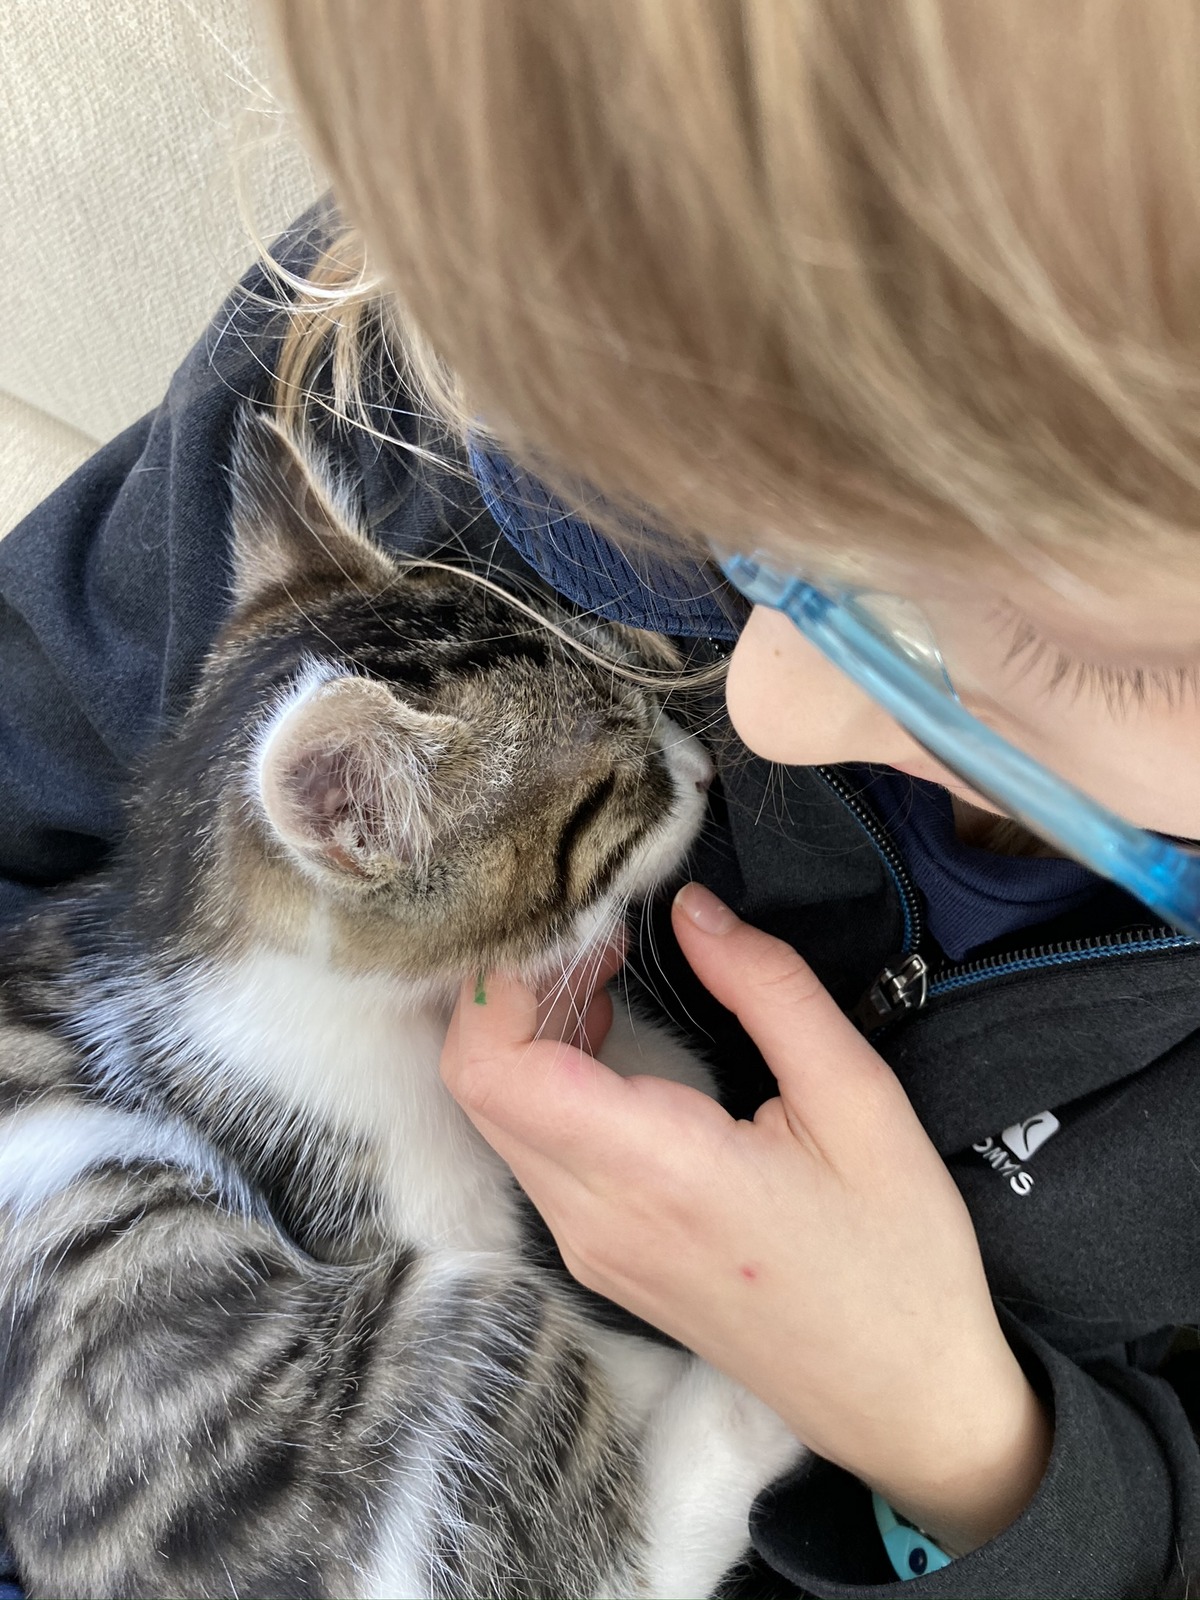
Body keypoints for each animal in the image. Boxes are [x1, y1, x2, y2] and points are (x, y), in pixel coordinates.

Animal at [0, 412, 801, 1599]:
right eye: (619, 787)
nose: (704, 767)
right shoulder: (390, 1192)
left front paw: (633, 1053)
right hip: (425, 1341)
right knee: (601, 1555)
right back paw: (754, 1398)